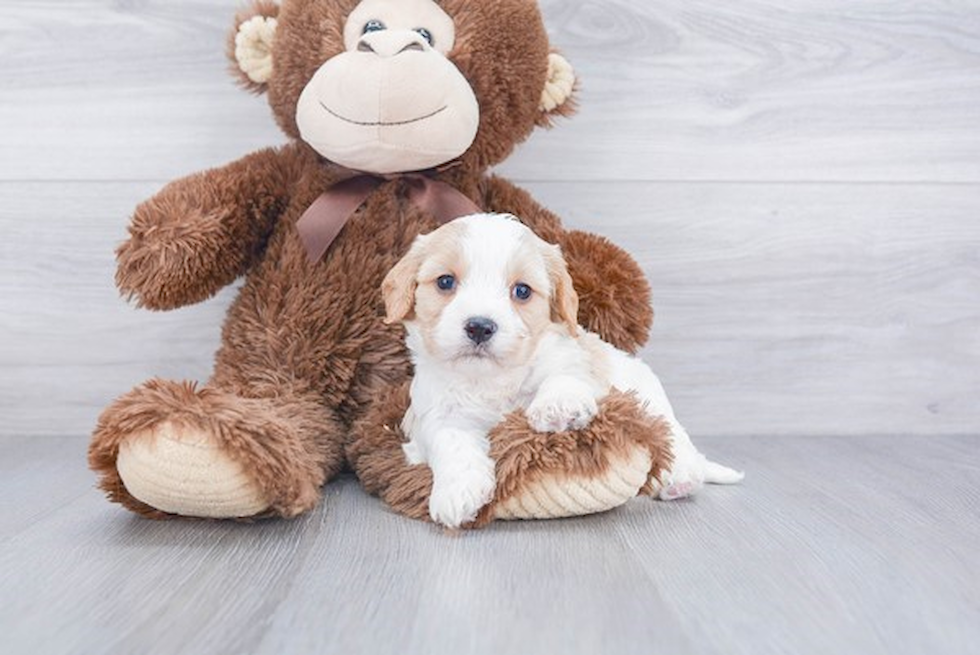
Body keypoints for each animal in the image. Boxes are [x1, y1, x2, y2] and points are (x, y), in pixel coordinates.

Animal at [382, 215, 744, 528]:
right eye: (445, 282)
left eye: (522, 291)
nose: (480, 327)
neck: (492, 379)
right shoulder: (432, 412)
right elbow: (450, 438)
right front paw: (458, 491)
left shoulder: (571, 357)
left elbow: (564, 374)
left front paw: (559, 407)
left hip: (650, 396)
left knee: (675, 437)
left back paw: (679, 477)